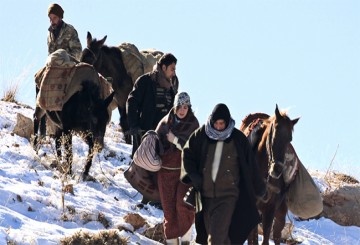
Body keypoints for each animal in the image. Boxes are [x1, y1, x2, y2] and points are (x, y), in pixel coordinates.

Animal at [240, 104, 300, 244]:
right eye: (274, 135)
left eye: (290, 139)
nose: (277, 169)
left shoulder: (270, 209)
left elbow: (265, 239)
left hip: (280, 213)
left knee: (277, 235)